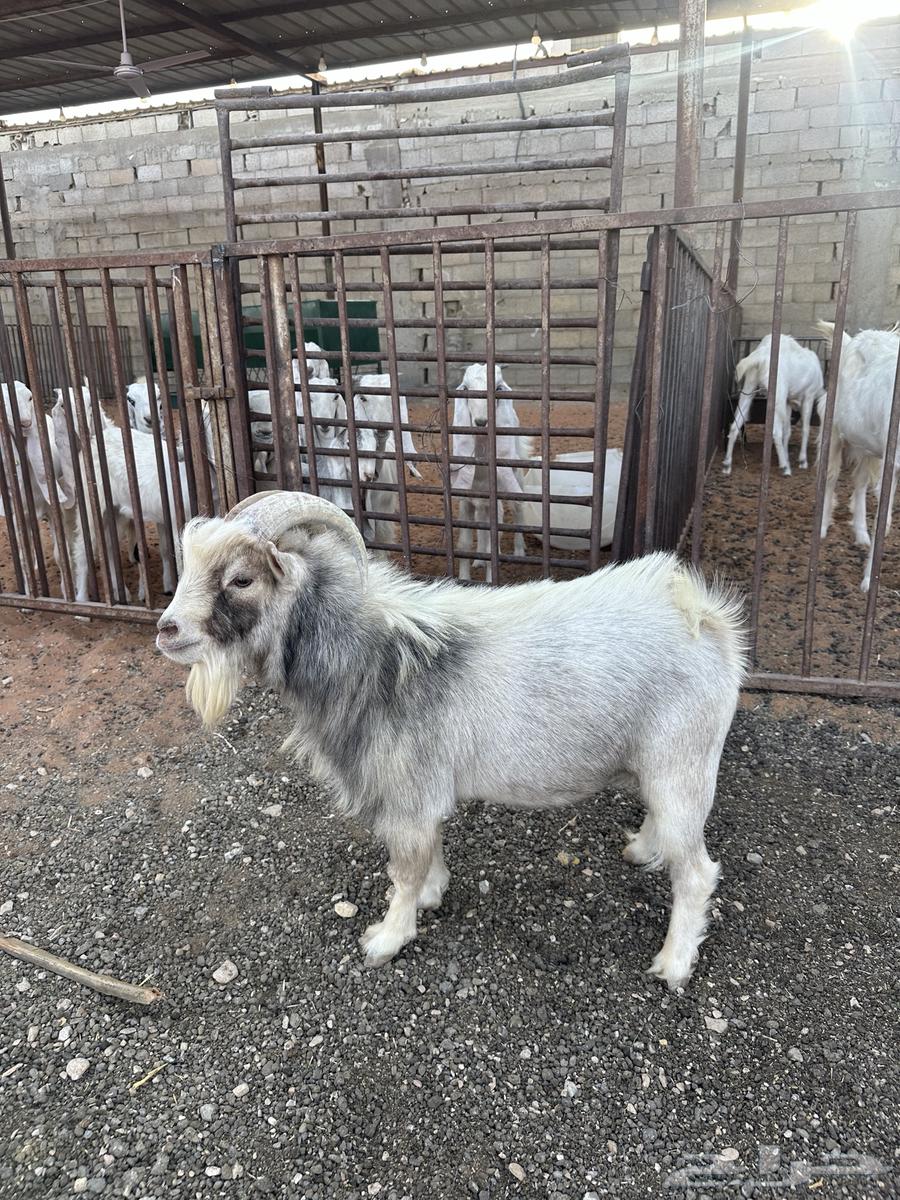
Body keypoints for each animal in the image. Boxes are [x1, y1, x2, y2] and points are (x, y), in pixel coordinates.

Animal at [156, 490, 746, 990]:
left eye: (241, 579)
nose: (166, 630)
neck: (376, 658)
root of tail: (704, 616)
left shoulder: (406, 796)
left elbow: (404, 868)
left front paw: (387, 939)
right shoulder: (422, 792)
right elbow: (430, 850)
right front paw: (434, 893)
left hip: (682, 766)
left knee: (697, 873)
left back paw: (673, 965)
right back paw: (643, 849)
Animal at [452, 363, 532, 582]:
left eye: (498, 388)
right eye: (466, 388)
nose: (481, 422)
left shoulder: (495, 502)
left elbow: (493, 546)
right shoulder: (466, 499)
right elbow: (464, 543)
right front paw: (464, 578)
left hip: (515, 475)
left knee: (518, 508)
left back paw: (519, 551)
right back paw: (478, 560)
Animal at [722, 335, 825, 476]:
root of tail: (762, 354)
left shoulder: (788, 401)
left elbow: (788, 431)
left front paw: (787, 455)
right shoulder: (808, 396)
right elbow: (805, 428)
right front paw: (802, 461)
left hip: (750, 384)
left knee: (735, 425)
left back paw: (727, 465)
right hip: (778, 393)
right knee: (776, 431)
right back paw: (785, 468)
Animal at [817, 320, 900, 592]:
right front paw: (867, 582)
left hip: (867, 445)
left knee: (860, 480)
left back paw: (862, 533)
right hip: (832, 426)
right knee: (831, 475)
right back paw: (823, 526)